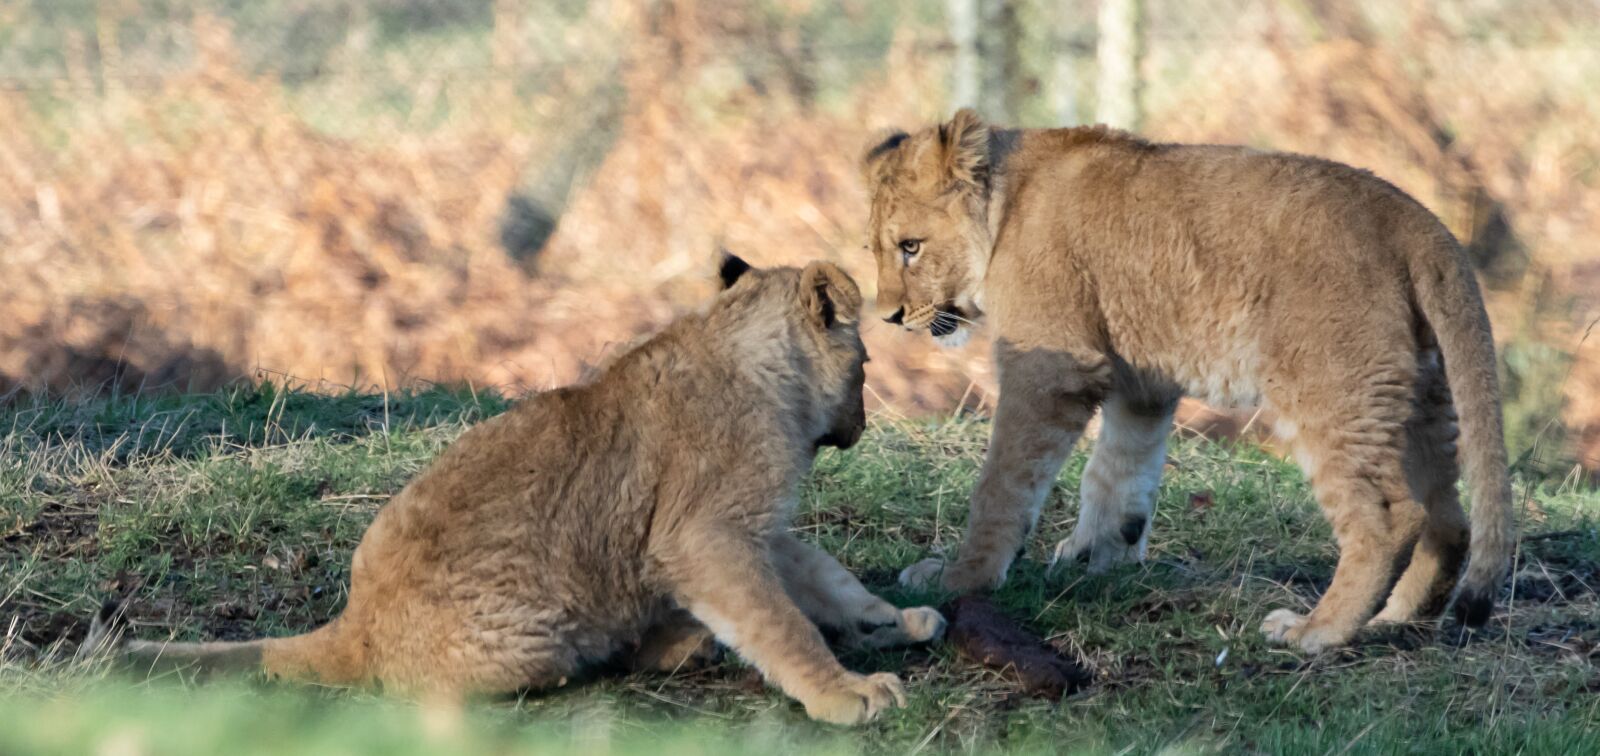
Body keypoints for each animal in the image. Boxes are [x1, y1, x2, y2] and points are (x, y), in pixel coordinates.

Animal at [86, 255, 945, 724]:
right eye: (867, 363)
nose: (864, 421)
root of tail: (356, 622)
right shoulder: (707, 535)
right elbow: (781, 621)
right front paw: (845, 695)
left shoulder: (755, 526)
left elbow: (827, 580)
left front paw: (894, 620)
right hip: (539, 634)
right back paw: (660, 647)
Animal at [858, 109, 1513, 652]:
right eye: (875, 250)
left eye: (911, 247)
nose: (888, 316)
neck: (1003, 206)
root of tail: (1414, 219)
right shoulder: (1140, 379)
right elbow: (1118, 471)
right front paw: (1100, 555)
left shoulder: (1054, 365)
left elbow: (1001, 486)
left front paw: (958, 577)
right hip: (1420, 395)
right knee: (1450, 518)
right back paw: (1395, 618)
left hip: (1330, 389)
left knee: (1390, 516)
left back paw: (1317, 631)